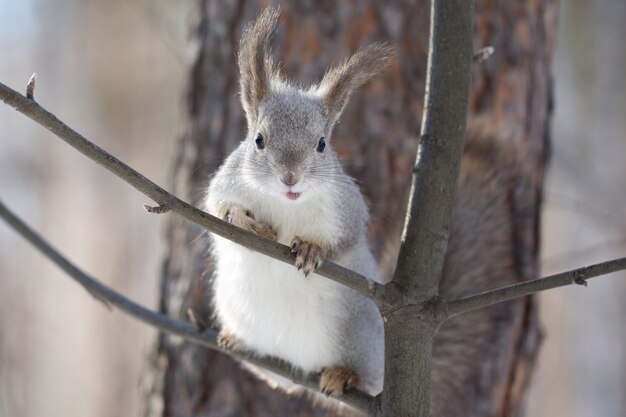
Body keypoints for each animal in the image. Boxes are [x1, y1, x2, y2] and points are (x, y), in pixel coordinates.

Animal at [202, 7, 392, 396]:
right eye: (258, 140)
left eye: (322, 144)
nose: (290, 178)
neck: (285, 203)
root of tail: (299, 370)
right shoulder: (225, 182)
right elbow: (216, 207)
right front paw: (242, 221)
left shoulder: (346, 207)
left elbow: (346, 236)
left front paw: (311, 249)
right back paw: (234, 339)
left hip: (361, 337)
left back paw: (343, 375)